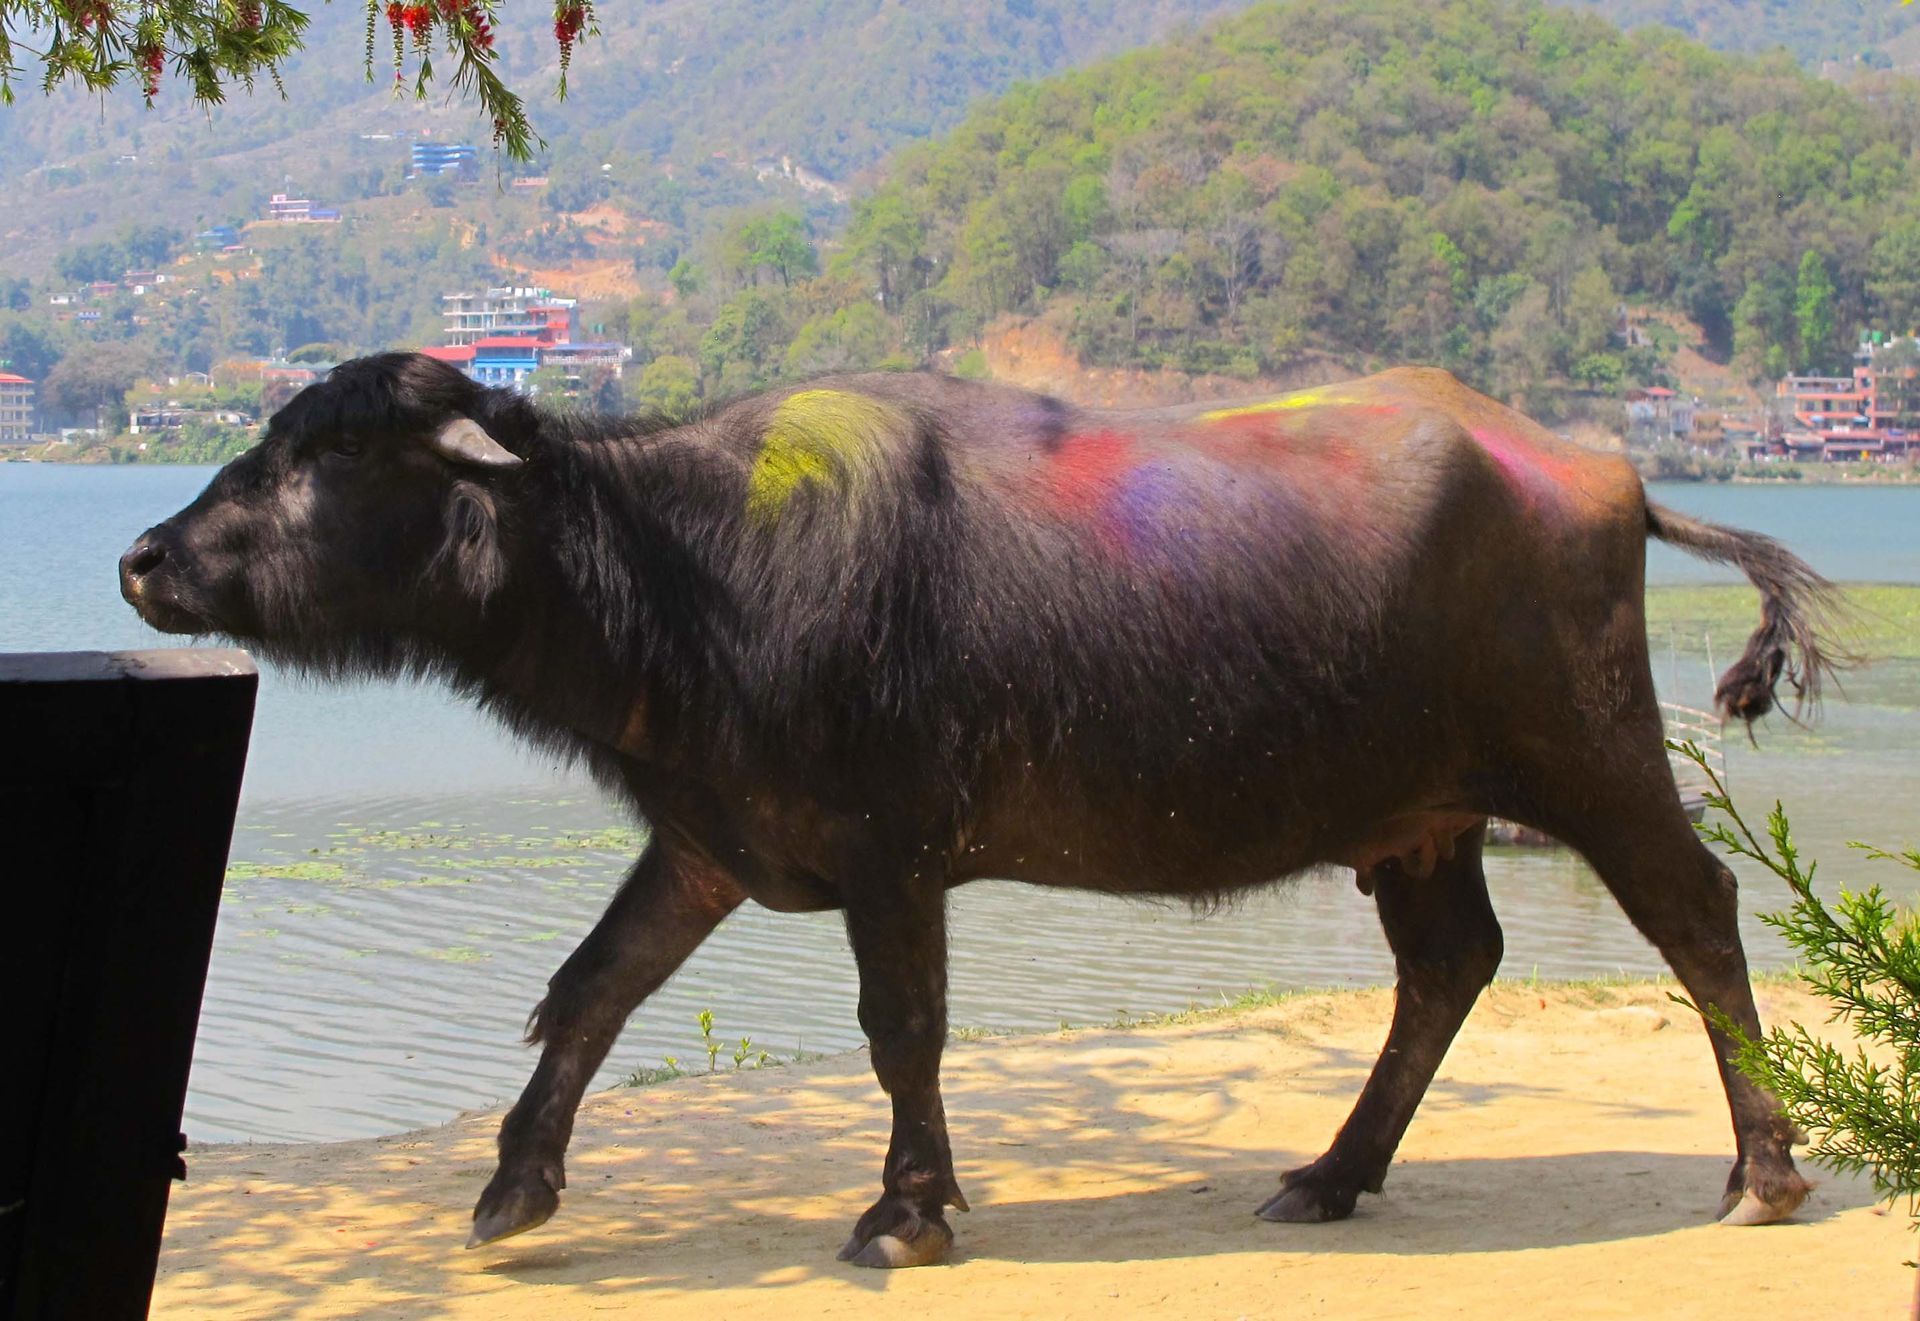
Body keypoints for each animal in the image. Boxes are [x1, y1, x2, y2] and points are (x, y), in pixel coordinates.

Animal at [121, 353, 1841, 1267]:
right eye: (270, 436)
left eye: (333, 452)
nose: (142, 558)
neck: (693, 564)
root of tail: (1605, 468)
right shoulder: (708, 840)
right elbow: (590, 992)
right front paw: (513, 1186)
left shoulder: (893, 854)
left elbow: (903, 1030)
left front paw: (907, 1209)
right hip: (1416, 815)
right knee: (1449, 966)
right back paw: (1333, 1172)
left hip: (1589, 752)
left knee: (1696, 917)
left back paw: (1764, 1171)